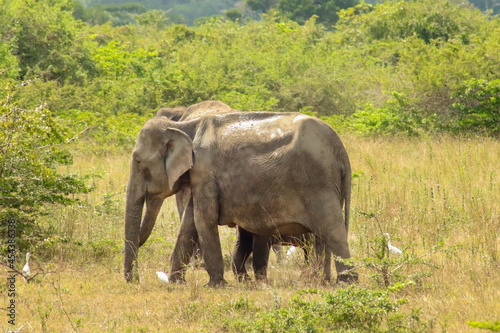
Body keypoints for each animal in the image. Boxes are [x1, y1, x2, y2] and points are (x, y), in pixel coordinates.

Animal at [125, 105, 358, 286]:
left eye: (137, 161)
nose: (134, 280)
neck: (185, 126)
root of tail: (340, 149)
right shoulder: (200, 176)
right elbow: (189, 222)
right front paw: (177, 283)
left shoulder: (205, 170)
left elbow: (203, 220)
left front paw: (216, 285)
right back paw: (322, 280)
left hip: (318, 183)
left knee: (332, 230)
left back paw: (346, 283)